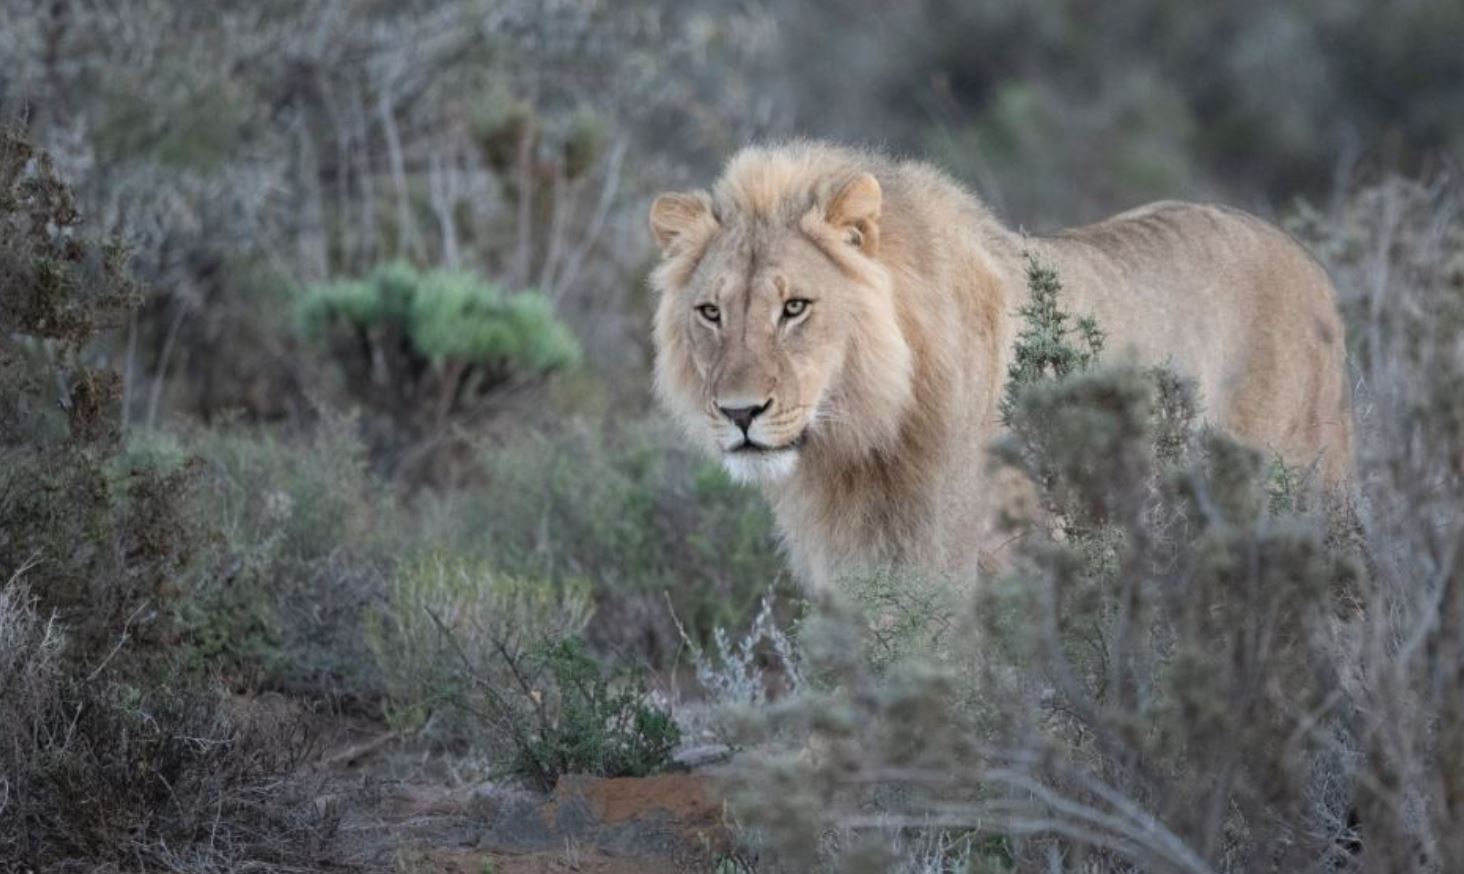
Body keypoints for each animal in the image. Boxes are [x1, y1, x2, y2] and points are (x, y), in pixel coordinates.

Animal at [648, 142, 1353, 589]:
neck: (863, 445)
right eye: (711, 313)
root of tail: (1310, 261)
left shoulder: (984, 565)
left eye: (795, 307)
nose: (739, 413)